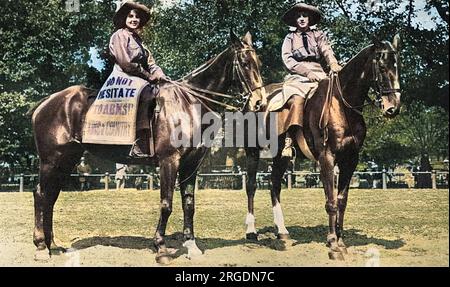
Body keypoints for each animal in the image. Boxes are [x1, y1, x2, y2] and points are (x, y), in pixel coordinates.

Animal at [30, 31, 264, 264]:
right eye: (245, 63)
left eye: (259, 63)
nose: (259, 103)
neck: (188, 104)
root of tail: (47, 102)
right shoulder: (169, 161)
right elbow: (166, 204)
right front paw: (161, 248)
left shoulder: (191, 165)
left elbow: (189, 204)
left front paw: (191, 245)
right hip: (51, 160)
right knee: (41, 194)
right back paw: (41, 246)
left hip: (66, 160)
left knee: (51, 196)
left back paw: (52, 245)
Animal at [243, 35, 400, 260]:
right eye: (381, 66)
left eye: (397, 65)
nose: (393, 107)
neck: (341, 105)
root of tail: (254, 100)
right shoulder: (327, 158)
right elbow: (331, 201)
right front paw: (333, 245)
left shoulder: (350, 160)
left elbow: (341, 201)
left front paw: (341, 242)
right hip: (252, 152)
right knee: (251, 186)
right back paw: (251, 231)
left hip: (281, 156)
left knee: (274, 186)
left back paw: (282, 232)